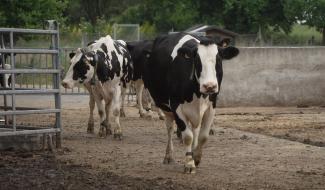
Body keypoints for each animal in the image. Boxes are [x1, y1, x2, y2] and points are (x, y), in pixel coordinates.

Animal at [143, 33, 239, 174]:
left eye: (218, 60)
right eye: (197, 61)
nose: (209, 86)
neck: (197, 93)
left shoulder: (212, 106)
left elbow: (203, 136)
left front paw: (196, 158)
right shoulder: (176, 106)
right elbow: (187, 136)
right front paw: (189, 163)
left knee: (195, 130)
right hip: (166, 108)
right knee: (170, 128)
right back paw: (168, 156)